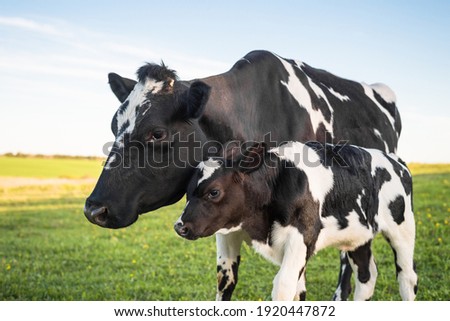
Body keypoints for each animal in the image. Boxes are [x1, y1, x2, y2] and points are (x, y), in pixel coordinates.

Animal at [176, 141, 418, 298]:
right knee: (366, 277)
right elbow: (226, 281)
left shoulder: (301, 238)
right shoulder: (230, 233)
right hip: (359, 237)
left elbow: (283, 286)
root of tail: (395, 160)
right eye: (187, 191)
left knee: (408, 277)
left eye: (214, 192)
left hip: (403, 228)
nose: (180, 226)